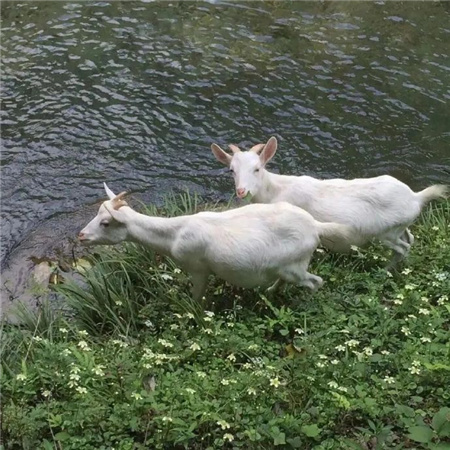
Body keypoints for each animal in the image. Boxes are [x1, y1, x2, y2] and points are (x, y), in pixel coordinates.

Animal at [79, 183, 356, 298]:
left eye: (106, 223)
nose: (81, 235)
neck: (175, 234)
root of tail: (316, 226)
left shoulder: (198, 267)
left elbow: (198, 297)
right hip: (288, 266)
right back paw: (269, 293)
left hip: (296, 265)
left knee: (315, 282)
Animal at [213, 137, 448, 264]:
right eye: (232, 170)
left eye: (257, 168)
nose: (241, 191)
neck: (275, 190)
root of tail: (416, 197)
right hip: (400, 228)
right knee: (410, 238)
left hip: (387, 233)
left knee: (402, 247)